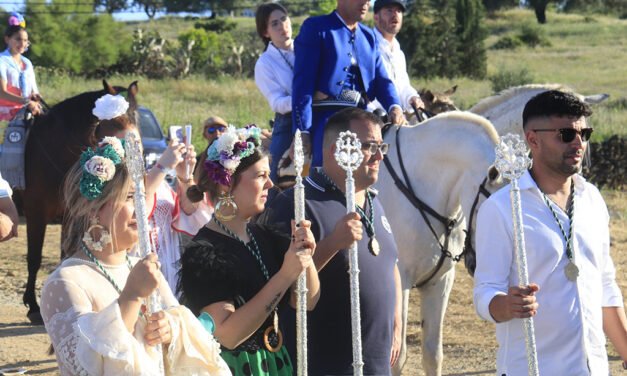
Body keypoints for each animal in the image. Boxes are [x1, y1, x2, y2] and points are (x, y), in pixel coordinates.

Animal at [18, 79, 139, 324]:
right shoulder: (35, 212)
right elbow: (34, 257)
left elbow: (66, 255)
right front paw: (33, 306)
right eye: (115, 119)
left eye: (137, 116)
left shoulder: (69, 214)